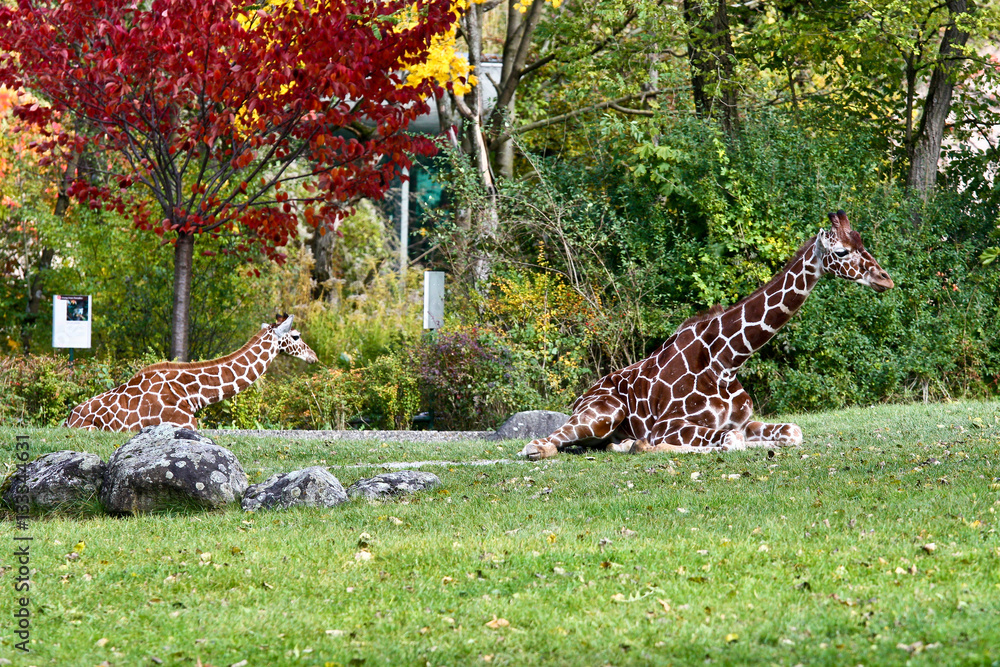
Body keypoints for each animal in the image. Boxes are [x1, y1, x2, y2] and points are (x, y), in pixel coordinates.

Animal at [519, 210, 894, 460]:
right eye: (842, 251)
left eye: (862, 243)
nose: (885, 279)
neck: (727, 360)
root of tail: (579, 399)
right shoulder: (668, 425)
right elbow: (729, 442)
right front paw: (645, 445)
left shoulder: (743, 421)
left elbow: (792, 432)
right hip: (603, 413)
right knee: (538, 446)